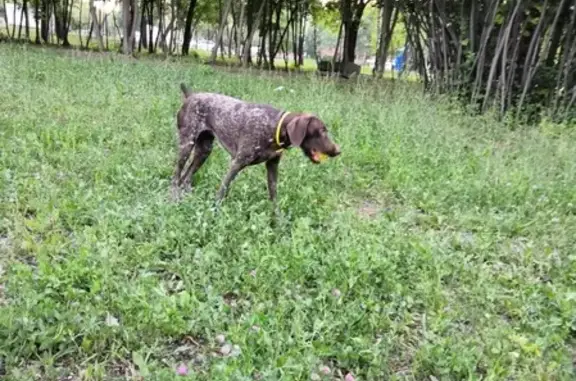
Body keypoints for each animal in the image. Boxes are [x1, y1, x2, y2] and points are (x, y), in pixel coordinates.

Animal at [172, 81, 342, 203]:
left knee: (185, 178)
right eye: (321, 131)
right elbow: (222, 191)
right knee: (176, 176)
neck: (275, 127)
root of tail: (190, 96)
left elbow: (274, 200)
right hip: (186, 146)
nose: (338, 150)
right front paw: (214, 211)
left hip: (204, 150)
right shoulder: (237, 163)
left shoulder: (272, 167)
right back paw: (172, 199)